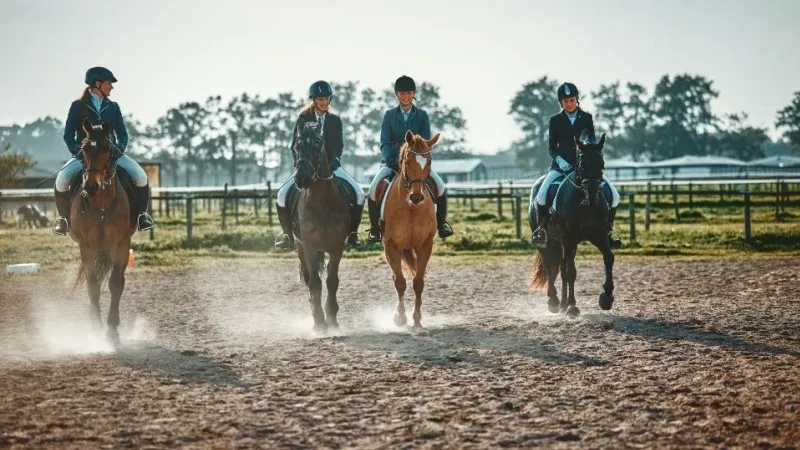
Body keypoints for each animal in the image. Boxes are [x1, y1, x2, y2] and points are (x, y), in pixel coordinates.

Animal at [69, 118, 135, 346]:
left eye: (107, 148)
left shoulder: (122, 243)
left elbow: (116, 284)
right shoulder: (86, 246)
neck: (101, 204)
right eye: (84, 148)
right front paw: (97, 328)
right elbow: (93, 286)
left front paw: (112, 328)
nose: (91, 186)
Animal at [292, 122, 354, 331]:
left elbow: (332, 280)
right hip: (300, 247)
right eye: (297, 146)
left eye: (316, 147)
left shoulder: (337, 246)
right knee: (308, 278)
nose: (301, 178)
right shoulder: (310, 246)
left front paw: (332, 317)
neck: (322, 201)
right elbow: (315, 283)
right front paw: (319, 321)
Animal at [382, 130, 441, 328]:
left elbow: (418, 282)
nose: (416, 197)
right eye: (407, 162)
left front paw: (417, 319)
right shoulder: (391, 245)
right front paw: (400, 318)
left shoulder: (425, 245)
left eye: (428, 162)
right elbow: (400, 282)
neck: (411, 208)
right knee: (395, 277)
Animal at [528, 133, 615, 318]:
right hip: (548, 241)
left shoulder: (600, 235)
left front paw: (607, 297)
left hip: (565, 243)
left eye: (602, 163)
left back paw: (562, 303)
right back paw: (554, 302)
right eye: (581, 163)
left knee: (561, 267)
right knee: (551, 265)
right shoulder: (568, 238)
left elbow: (608, 258)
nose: (592, 194)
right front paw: (573, 306)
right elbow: (571, 272)